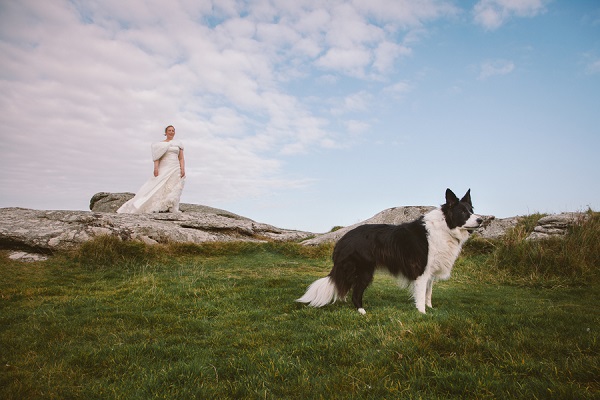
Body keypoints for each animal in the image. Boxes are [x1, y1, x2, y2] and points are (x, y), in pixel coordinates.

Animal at [296, 189, 482, 314]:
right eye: (463, 212)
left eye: (472, 210)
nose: (481, 220)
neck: (445, 226)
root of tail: (342, 240)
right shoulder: (420, 270)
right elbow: (421, 294)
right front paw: (422, 313)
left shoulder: (430, 271)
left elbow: (428, 293)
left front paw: (430, 308)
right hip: (364, 271)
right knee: (356, 293)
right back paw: (361, 311)